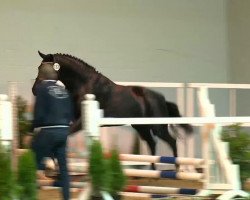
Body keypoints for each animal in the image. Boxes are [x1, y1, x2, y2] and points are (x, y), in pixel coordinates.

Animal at [32, 51, 193, 162]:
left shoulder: (81, 122)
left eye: (43, 69)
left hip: (158, 127)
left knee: (171, 141)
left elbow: (67, 133)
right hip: (141, 127)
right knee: (152, 143)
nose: (34, 90)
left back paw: (177, 169)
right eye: (38, 67)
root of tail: (162, 99)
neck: (84, 85)